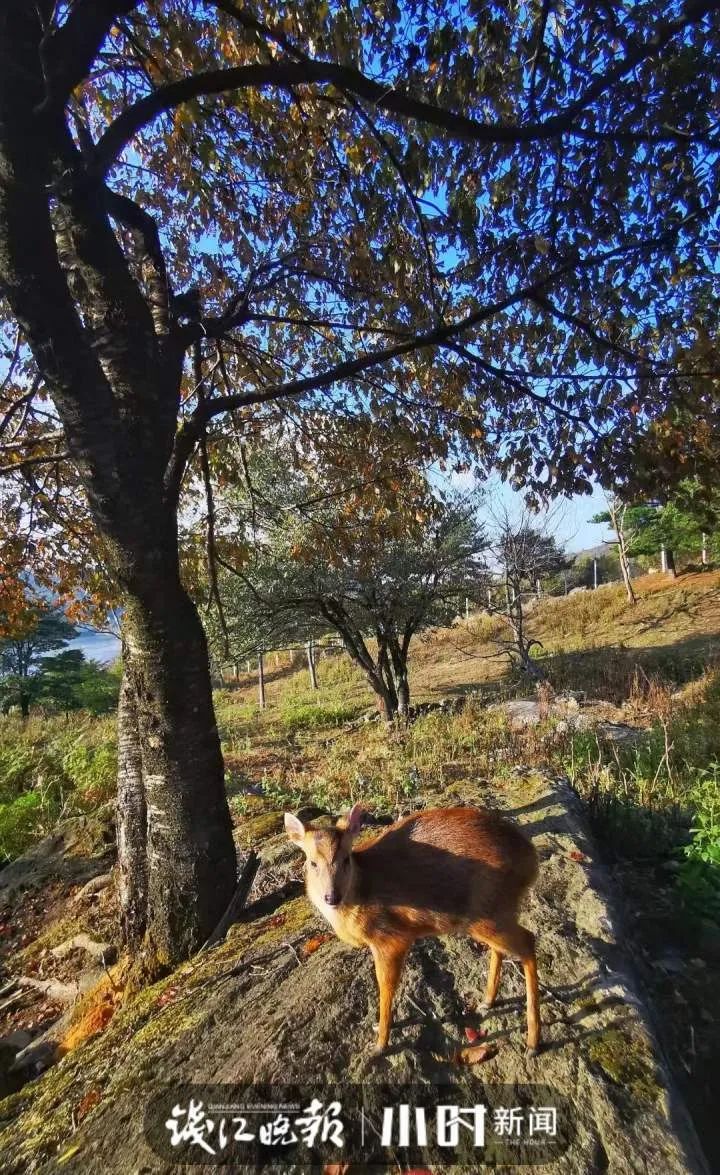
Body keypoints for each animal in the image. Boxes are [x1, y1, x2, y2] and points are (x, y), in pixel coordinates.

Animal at [281, 803, 540, 1052]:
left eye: (346, 859)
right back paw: (488, 1001)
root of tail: (531, 859)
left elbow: (386, 985)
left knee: (529, 941)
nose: (331, 897)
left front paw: (380, 1044)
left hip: (487, 913)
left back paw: (532, 1042)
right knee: (504, 947)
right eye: (312, 862)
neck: (361, 890)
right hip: (493, 914)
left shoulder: (391, 938)